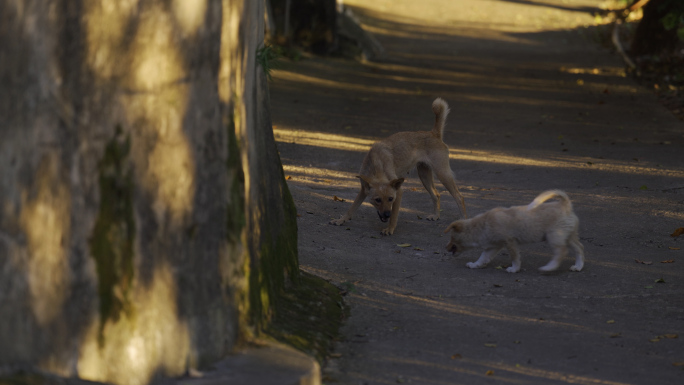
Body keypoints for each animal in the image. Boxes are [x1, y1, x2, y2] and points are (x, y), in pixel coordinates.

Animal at [328, 97, 468, 234]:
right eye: (377, 200)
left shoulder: (398, 192)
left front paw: (390, 229)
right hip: (424, 175)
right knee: (436, 195)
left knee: (459, 197)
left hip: (442, 173)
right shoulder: (363, 190)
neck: (376, 164)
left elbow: (395, 215)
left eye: (391, 199)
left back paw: (463, 220)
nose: (386, 214)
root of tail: (433, 133)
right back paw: (436, 216)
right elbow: (351, 208)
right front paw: (341, 220)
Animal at [446, 190, 584, 272]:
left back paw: (549, 267)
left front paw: (514, 269)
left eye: (451, 238)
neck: (482, 225)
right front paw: (475, 265)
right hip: (568, 237)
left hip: (554, 236)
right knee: (579, 249)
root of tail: (565, 205)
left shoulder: (510, 242)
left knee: (562, 251)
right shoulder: (493, 247)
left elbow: (515, 258)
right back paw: (578, 266)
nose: (445, 249)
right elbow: (483, 258)